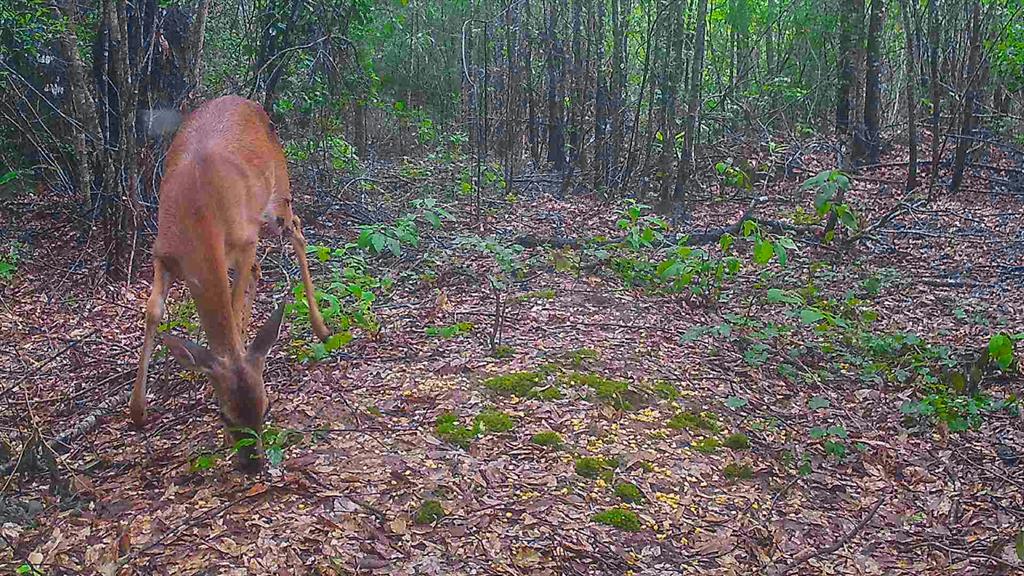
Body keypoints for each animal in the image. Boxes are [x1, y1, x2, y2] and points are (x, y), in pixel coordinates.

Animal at [132, 94, 329, 469]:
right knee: (260, 270)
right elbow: (152, 312)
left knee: (297, 231)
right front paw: (137, 411)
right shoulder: (162, 253)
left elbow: (235, 304)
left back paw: (322, 328)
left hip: (278, 195)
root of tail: (248, 102)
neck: (198, 213)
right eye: (224, 414)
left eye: (267, 408)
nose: (254, 465)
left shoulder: (244, 241)